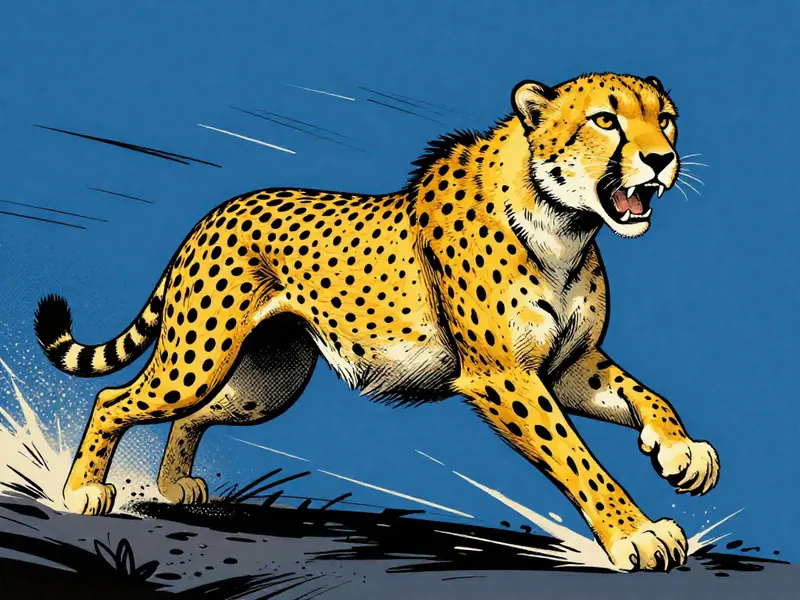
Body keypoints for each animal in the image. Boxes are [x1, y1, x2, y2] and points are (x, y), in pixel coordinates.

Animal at [34, 71, 719, 572]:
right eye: (605, 120)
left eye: (666, 118)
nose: (663, 159)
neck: (565, 224)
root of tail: (216, 213)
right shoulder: (504, 378)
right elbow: (576, 458)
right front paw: (635, 534)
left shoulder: (563, 367)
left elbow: (645, 394)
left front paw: (682, 453)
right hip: (196, 359)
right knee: (114, 398)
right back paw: (82, 492)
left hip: (266, 383)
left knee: (194, 414)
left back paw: (176, 486)